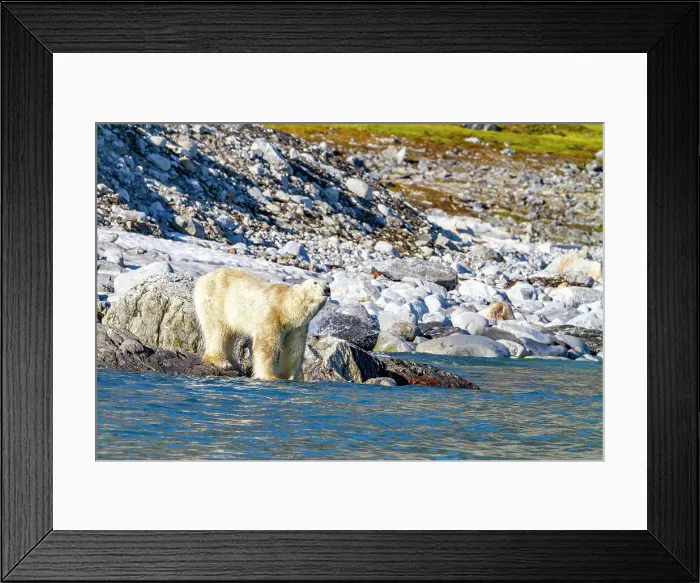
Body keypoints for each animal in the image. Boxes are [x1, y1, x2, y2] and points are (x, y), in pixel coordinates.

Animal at [193, 267, 330, 380]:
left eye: (327, 283)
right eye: (315, 283)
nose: (327, 289)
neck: (285, 308)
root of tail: (204, 277)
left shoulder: (297, 327)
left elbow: (294, 349)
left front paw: (289, 377)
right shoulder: (271, 316)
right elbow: (266, 346)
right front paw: (270, 376)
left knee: (229, 333)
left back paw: (233, 362)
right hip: (216, 298)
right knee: (217, 328)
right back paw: (221, 361)